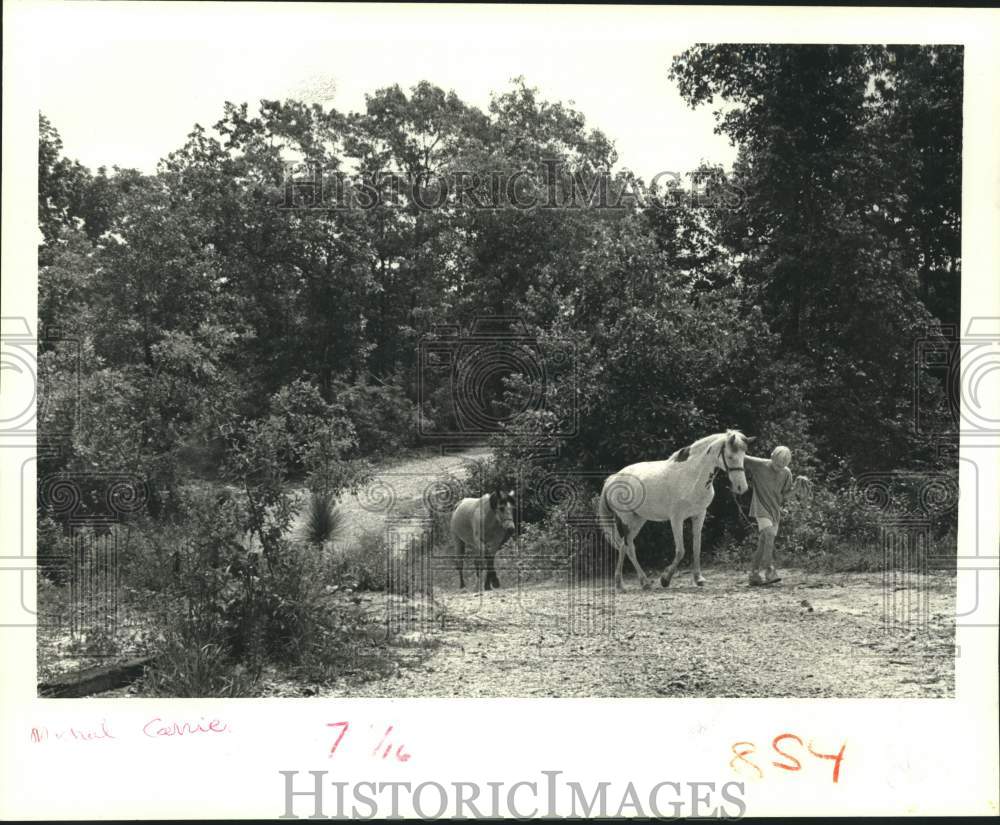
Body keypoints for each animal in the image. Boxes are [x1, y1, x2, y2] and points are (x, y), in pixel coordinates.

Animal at [592, 428, 752, 588]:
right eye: (730, 456)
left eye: (744, 456)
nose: (742, 488)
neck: (691, 476)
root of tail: (612, 479)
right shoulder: (676, 519)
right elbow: (681, 551)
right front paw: (665, 579)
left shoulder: (699, 514)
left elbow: (697, 546)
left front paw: (698, 578)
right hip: (626, 519)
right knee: (628, 547)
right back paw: (640, 582)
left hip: (638, 520)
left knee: (623, 546)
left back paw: (625, 582)